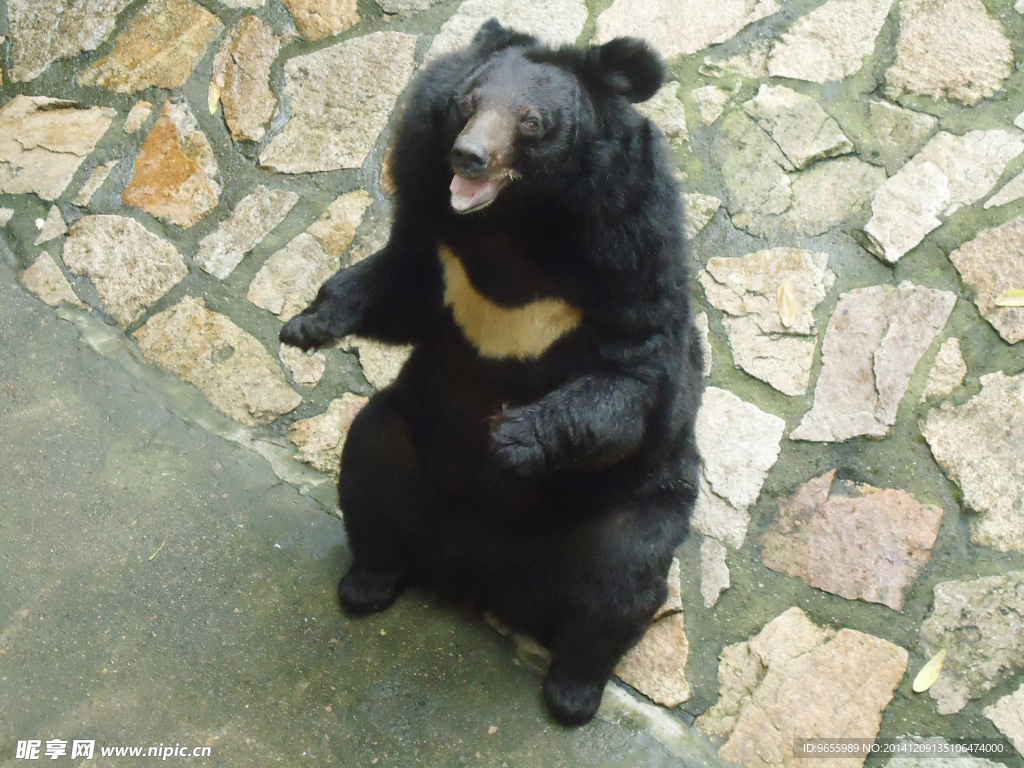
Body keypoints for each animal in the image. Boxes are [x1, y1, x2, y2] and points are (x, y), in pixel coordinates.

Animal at [281, 20, 704, 726]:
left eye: (531, 122)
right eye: (467, 102)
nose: (468, 157)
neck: (516, 223)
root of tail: (478, 581)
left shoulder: (632, 252)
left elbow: (635, 382)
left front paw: (512, 436)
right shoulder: (434, 229)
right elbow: (402, 288)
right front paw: (308, 325)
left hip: (631, 508)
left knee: (620, 575)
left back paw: (572, 693)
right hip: (413, 450)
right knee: (370, 460)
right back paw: (368, 582)